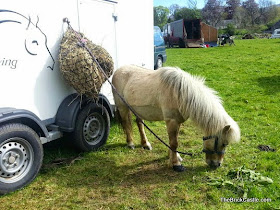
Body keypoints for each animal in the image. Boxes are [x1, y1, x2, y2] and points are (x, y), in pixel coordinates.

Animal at [112, 65, 240, 171]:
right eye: (224, 144)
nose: (217, 165)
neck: (180, 93)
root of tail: (118, 70)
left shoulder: (177, 121)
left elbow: (173, 141)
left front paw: (175, 157)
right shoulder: (172, 121)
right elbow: (174, 143)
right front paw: (175, 164)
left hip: (137, 110)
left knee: (139, 124)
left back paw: (145, 144)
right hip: (123, 107)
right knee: (126, 124)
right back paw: (130, 143)